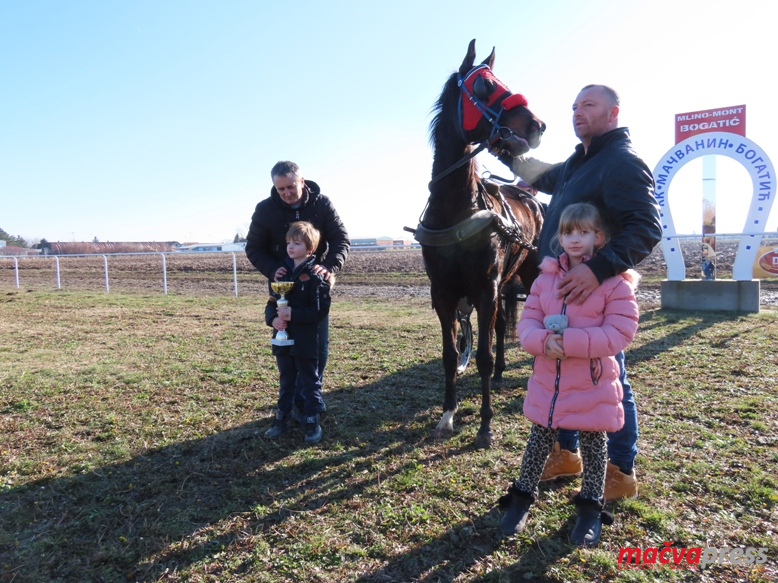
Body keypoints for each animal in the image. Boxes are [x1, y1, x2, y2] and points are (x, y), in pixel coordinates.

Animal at [416, 41, 544, 450]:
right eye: (485, 85)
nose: (537, 125)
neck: (456, 208)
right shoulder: (442, 293)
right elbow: (450, 354)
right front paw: (447, 415)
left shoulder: (485, 287)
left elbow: (483, 355)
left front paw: (485, 425)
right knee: (501, 324)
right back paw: (503, 372)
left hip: (527, 276)